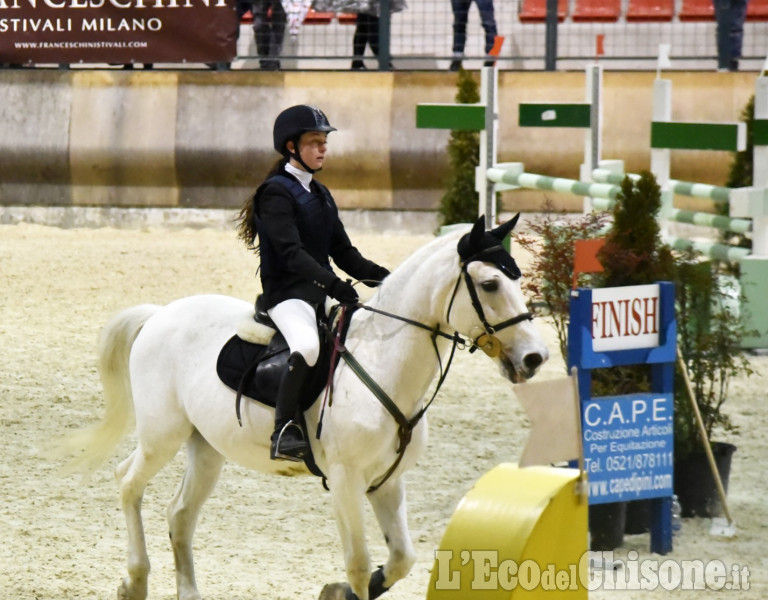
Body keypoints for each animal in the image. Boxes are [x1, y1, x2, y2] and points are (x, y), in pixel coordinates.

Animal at [63, 216, 548, 600]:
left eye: (517, 280)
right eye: (490, 284)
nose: (535, 358)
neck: (383, 361)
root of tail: (161, 314)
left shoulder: (387, 482)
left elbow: (401, 559)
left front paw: (335, 591)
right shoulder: (346, 480)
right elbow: (358, 563)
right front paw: (344, 588)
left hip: (207, 448)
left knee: (179, 514)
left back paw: (188, 592)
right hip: (163, 435)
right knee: (127, 482)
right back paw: (134, 581)